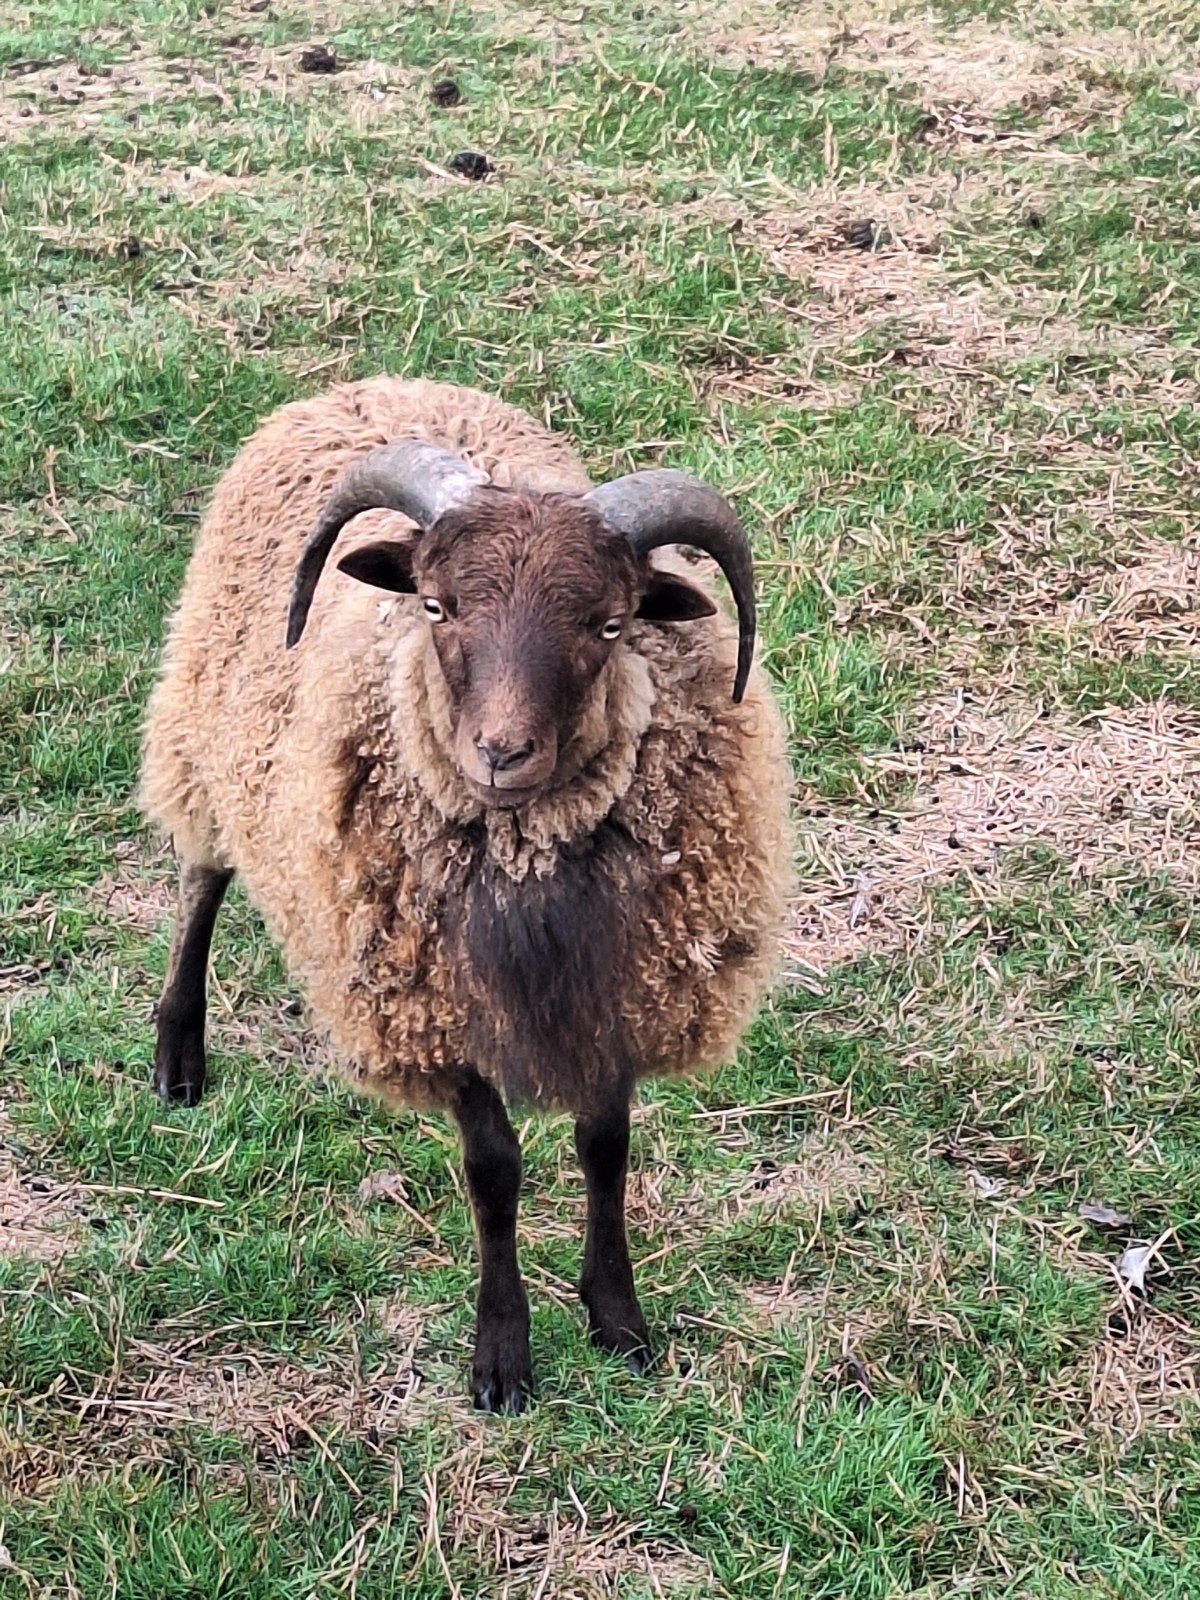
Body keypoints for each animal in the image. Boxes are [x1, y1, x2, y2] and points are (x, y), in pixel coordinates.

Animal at [140, 375, 793, 1413]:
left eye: (611, 624)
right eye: (439, 607)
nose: (500, 753)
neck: (523, 872)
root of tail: (374, 380)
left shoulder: (617, 983)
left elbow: (606, 1147)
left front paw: (618, 1321)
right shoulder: (438, 1007)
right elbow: (494, 1171)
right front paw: (503, 1359)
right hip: (209, 731)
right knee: (200, 880)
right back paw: (179, 1059)